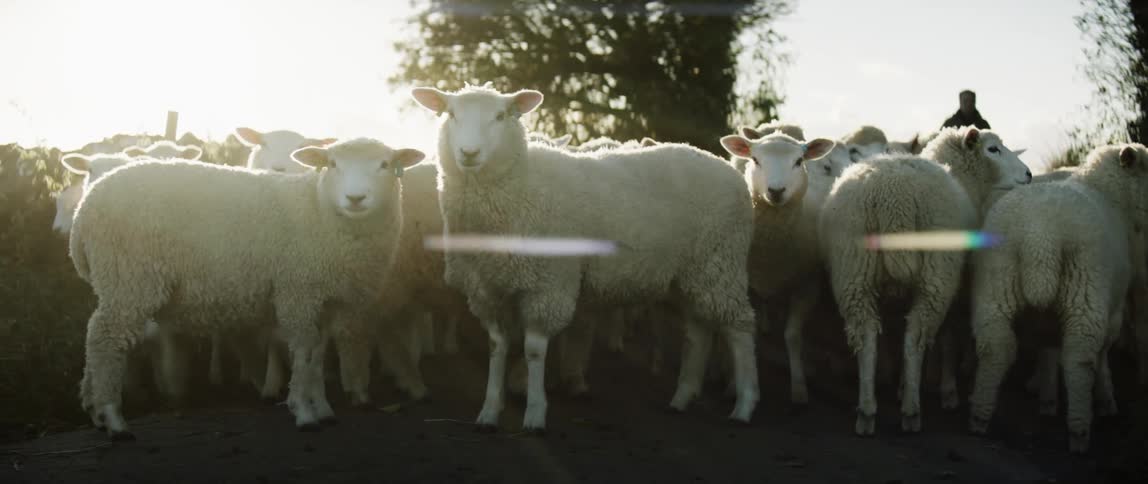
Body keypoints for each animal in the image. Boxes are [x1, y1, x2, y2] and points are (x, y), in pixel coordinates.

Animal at [69, 137, 425, 438]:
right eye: (333, 164)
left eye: (384, 164)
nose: (355, 198)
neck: (320, 209)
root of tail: (85, 206)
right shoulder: (298, 290)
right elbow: (304, 350)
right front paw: (303, 411)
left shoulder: (326, 299)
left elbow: (318, 354)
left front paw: (323, 408)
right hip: (130, 277)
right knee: (104, 338)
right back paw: (113, 418)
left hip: (117, 280)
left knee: (94, 334)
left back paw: (94, 410)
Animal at [410, 83, 760, 432]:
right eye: (450, 114)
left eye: (500, 116)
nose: (469, 153)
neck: (520, 185)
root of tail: (723, 165)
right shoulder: (486, 288)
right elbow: (497, 347)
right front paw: (489, 410)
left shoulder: (548, 283)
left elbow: (534, 350)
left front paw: (535, 413)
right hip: (691, 272)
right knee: (698, 332)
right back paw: (682, 397)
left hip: (721, 259)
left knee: (740, 327)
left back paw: (744, 403)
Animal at [718, 131, 836, 405]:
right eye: (755, 159)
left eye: (798, 161)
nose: (776, 191)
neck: (771, 249)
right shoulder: (746, 284)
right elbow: (746, 330)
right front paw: (734, 383)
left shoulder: (807, 285)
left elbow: (792, 336)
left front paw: (799, 389)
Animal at [819, 126, 1031, 435]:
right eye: (993, 149)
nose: (1029, 174)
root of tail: (894, 199)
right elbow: (947, 341)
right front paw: (944, 392)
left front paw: (898, 386)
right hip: (936, 275)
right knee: (916, 337)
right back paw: (911, 411)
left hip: (854, 272)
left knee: (867, 338)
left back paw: (867, 412)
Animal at [967, 143, 1148, 453]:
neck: (1112, 196)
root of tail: (1040, 238)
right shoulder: (1113, 310)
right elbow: (1102, 354)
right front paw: (1105, 400)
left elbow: (1048, 348)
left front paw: (1048, 400)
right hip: (1084, 291)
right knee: (1079, 358)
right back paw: (1079, 430)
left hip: (996, 283)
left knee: (994, 347)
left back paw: (980, 415)